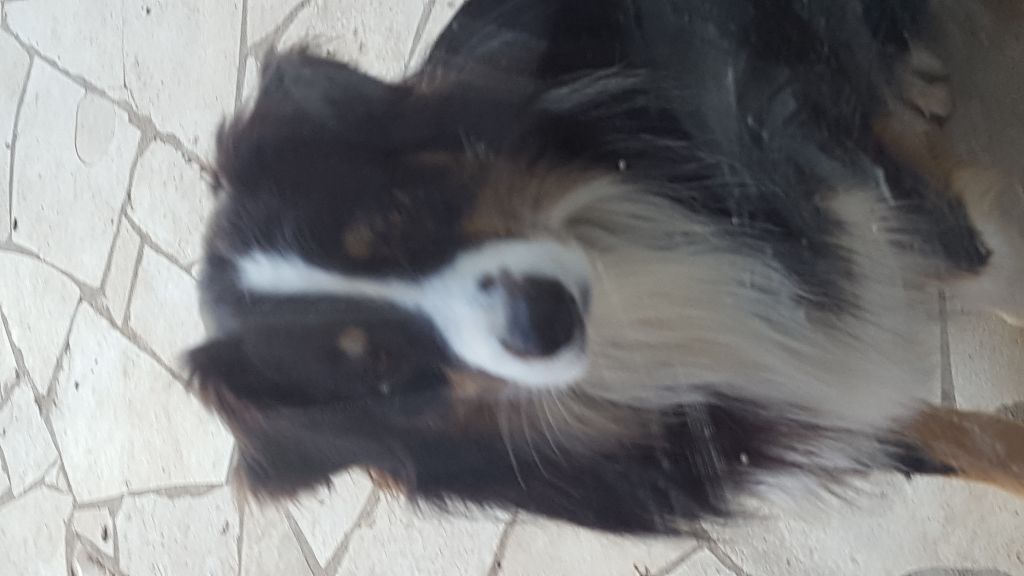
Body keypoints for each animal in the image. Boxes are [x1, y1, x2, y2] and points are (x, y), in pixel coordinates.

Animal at [188, 0, 1024, 534]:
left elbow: (983, 264)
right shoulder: (781, 395)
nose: (541, 317)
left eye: (399, 213)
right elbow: (958, 444)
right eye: (384, 375)